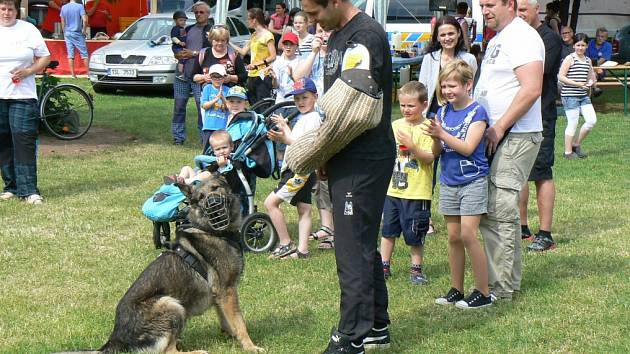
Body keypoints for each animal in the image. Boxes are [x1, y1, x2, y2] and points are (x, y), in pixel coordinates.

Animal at [53, 174, 262, 354]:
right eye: (200, 198)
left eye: (216, 188)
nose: (213, 203)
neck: (211, 231)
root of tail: (115, 338)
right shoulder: (227, 291)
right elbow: (240, 322)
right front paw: (250, 346)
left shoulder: (220, 294)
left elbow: (228, 321)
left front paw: (233, 338)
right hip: (171, 304)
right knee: (168, 351)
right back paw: (195, 351)